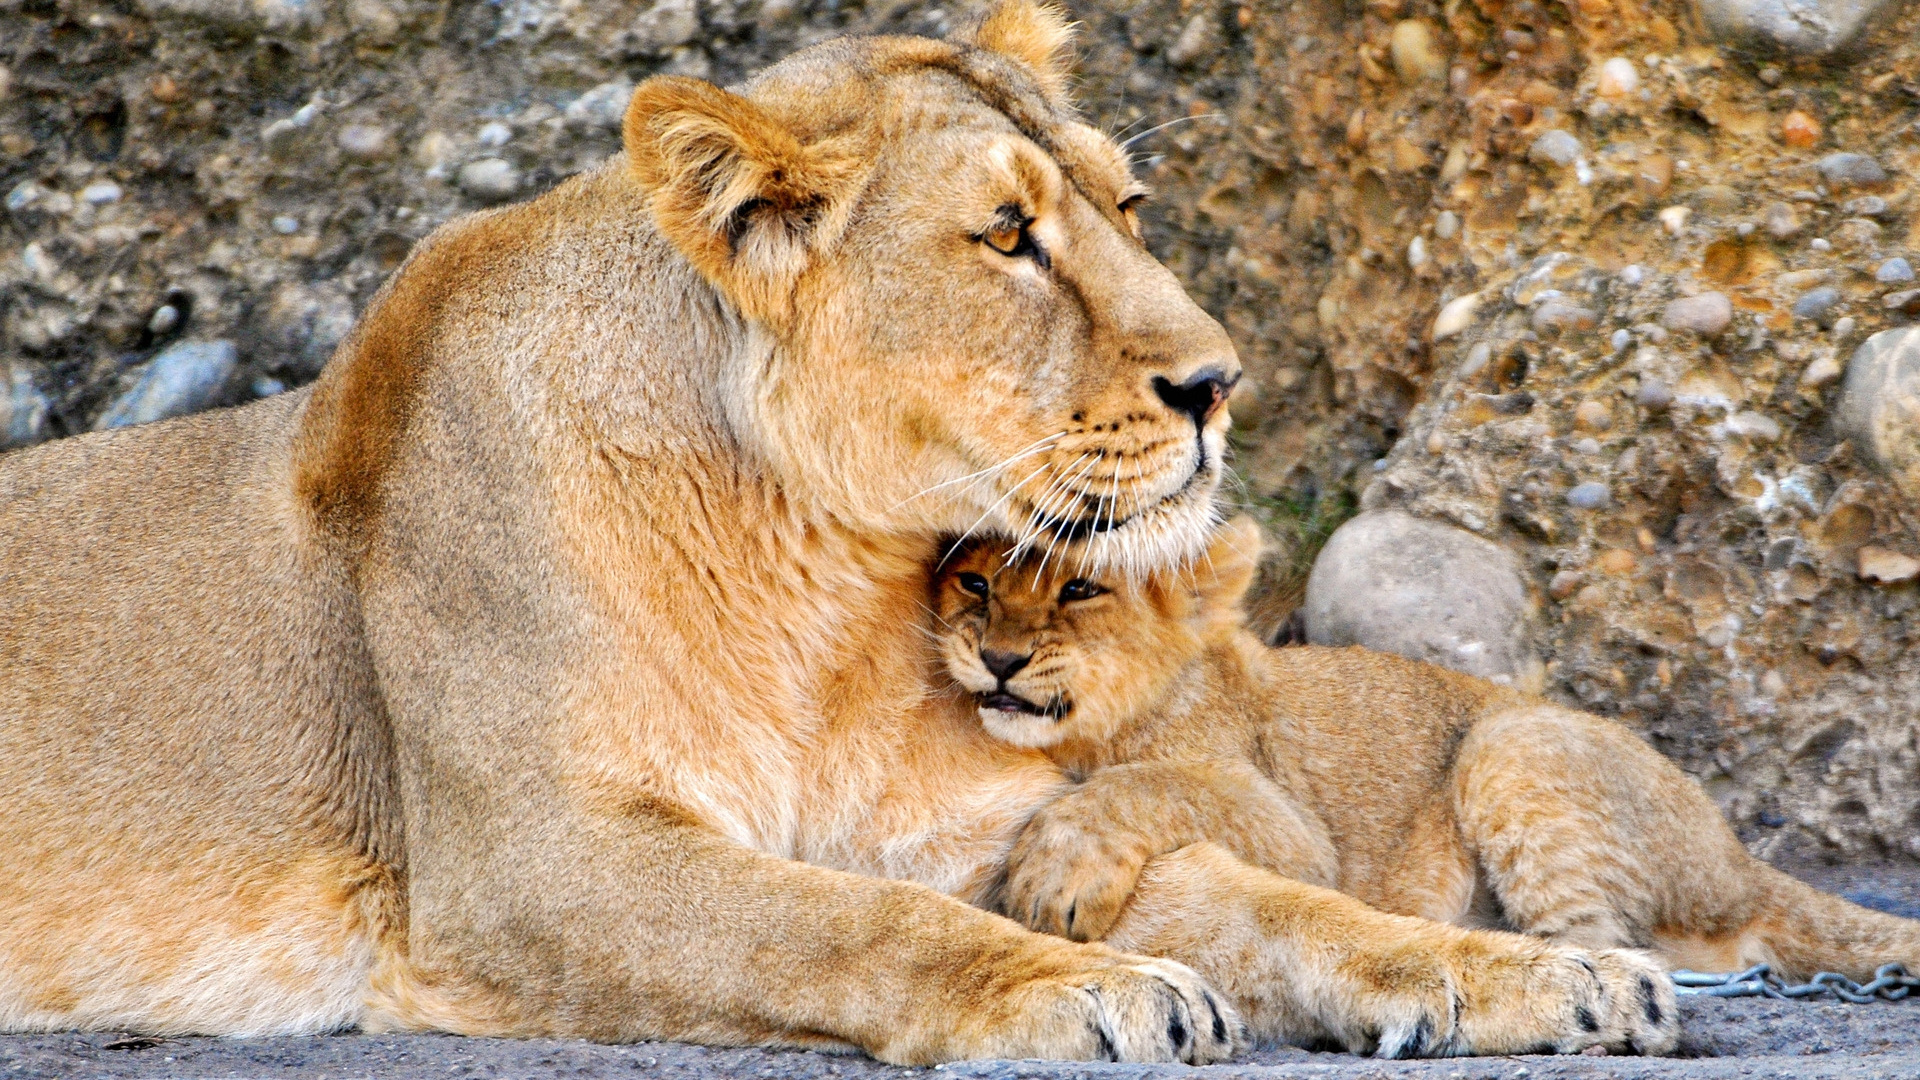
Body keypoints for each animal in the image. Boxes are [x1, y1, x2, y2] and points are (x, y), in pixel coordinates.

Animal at [3, 3, 1662, 1062]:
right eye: (1008, 236)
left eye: (1129, 205)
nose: (1219, 382)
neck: (827, 587)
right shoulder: (527, 866)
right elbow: (837, 925)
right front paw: (1084, 994)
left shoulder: (988, 836)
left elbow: (1268, 899)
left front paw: (1536, 972)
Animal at [934, 515, 1920, 1048]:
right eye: (974, 582)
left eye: (1080, 590)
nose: (999, 659)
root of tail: (1736, 860)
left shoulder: (1293, 828)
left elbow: (1152, 783)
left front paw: (1058, 873)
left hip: (1510, 741)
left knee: (1622, 945)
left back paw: (1566, 984)